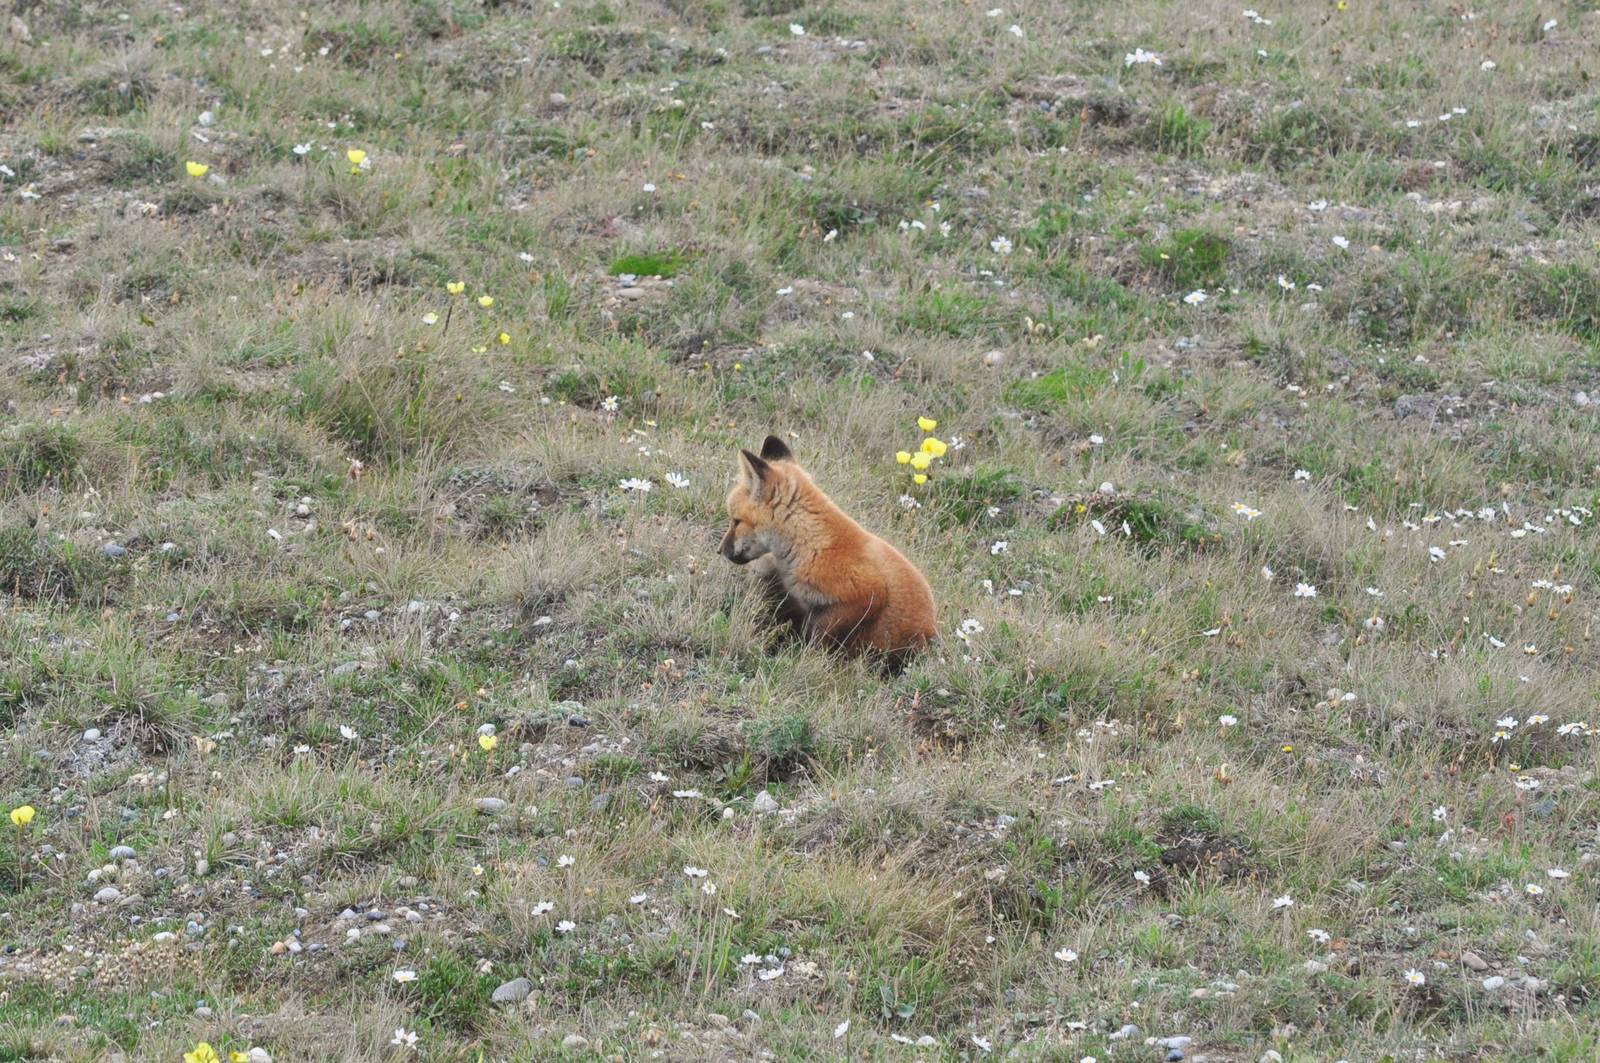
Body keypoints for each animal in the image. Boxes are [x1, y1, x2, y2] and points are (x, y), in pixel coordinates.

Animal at [720, 435, 937, 669]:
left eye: (736, 521)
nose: (720, 551)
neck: (812, 544)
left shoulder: (867, 593)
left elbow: (819, 638)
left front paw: (809, 660)